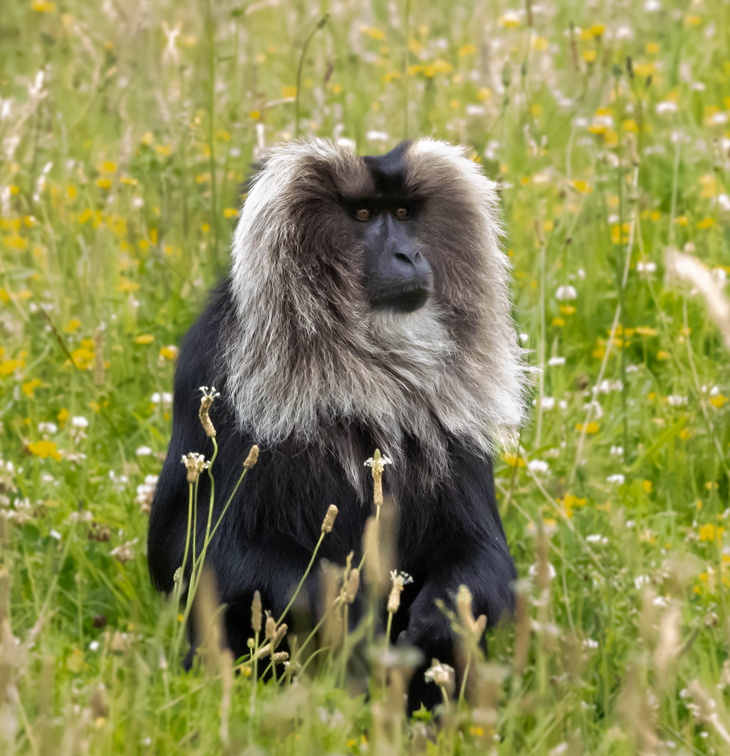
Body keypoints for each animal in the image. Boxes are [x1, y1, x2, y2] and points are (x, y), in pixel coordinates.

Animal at [146, 136, 524, 708]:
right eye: (364, 215)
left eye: (404, 214)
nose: (409, 254)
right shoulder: (210, 368)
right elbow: (194, 554)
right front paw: (357, 620)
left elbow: (481, 554)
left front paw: (435, 621)